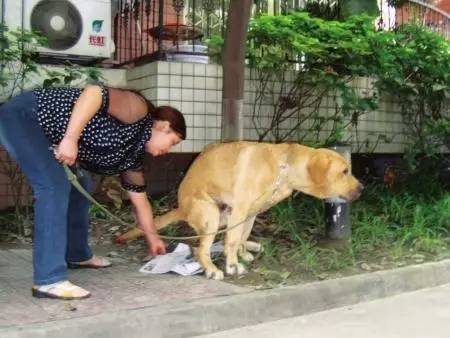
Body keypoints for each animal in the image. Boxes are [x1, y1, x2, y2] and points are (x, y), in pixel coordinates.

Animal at [116, 142, 362, 280]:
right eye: (345, 171)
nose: (362, 188)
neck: (283, 168)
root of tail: (181, 208)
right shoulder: (241, 208)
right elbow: (233, 240)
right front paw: (233, 264)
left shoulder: (250, 213)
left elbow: (241, 236)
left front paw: (243, 253)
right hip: (212, 213)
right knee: (200, 249)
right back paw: (211, 269)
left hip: (224, 216)